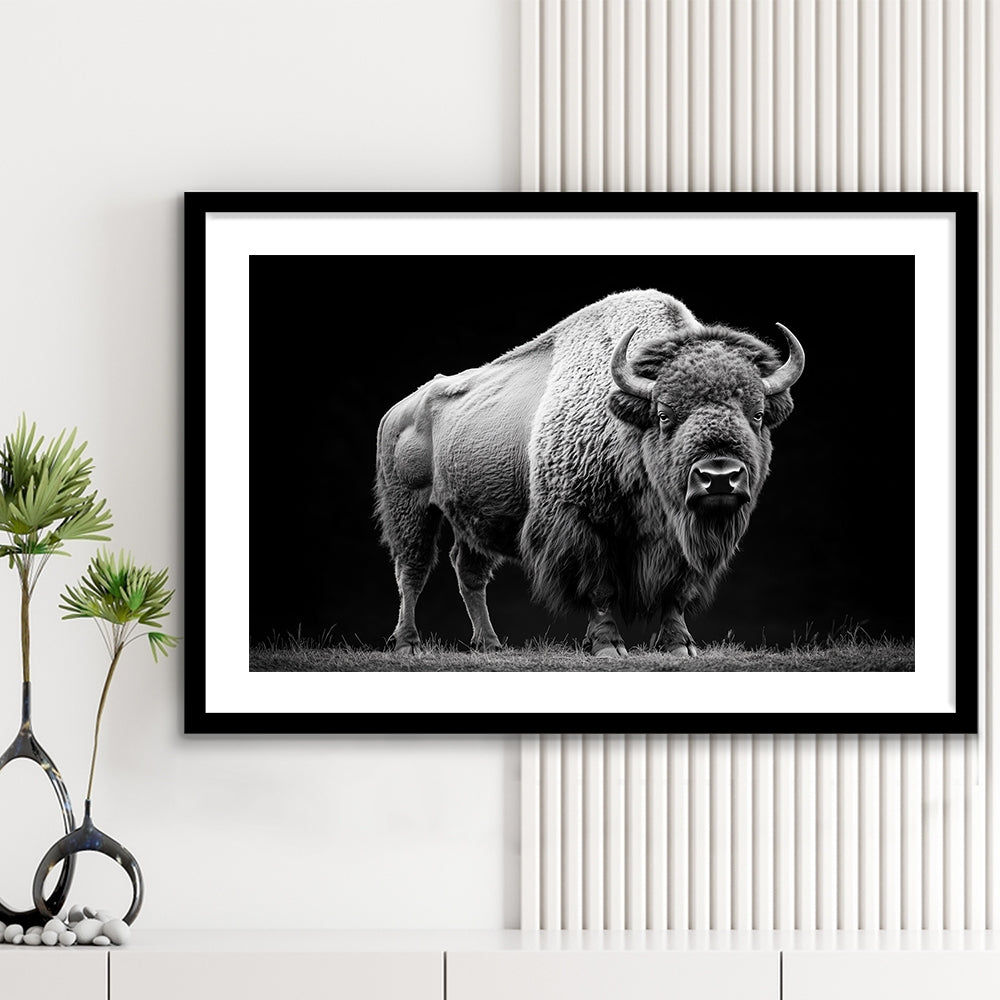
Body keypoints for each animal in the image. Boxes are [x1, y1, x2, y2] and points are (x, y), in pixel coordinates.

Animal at [375, 290, 804, 659]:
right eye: (665, 414)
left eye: (757, 415)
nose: (719, 476)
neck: (626, 421)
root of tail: (399, 410)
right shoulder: (582, 527)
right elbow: (600, 589)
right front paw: (608, 646)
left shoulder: (679, 540)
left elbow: (676, 593)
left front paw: (680, 646)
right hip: (410, 506)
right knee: (412, 569)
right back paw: (407, 644)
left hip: (471, 518)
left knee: (468, 571)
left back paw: (489, 644)